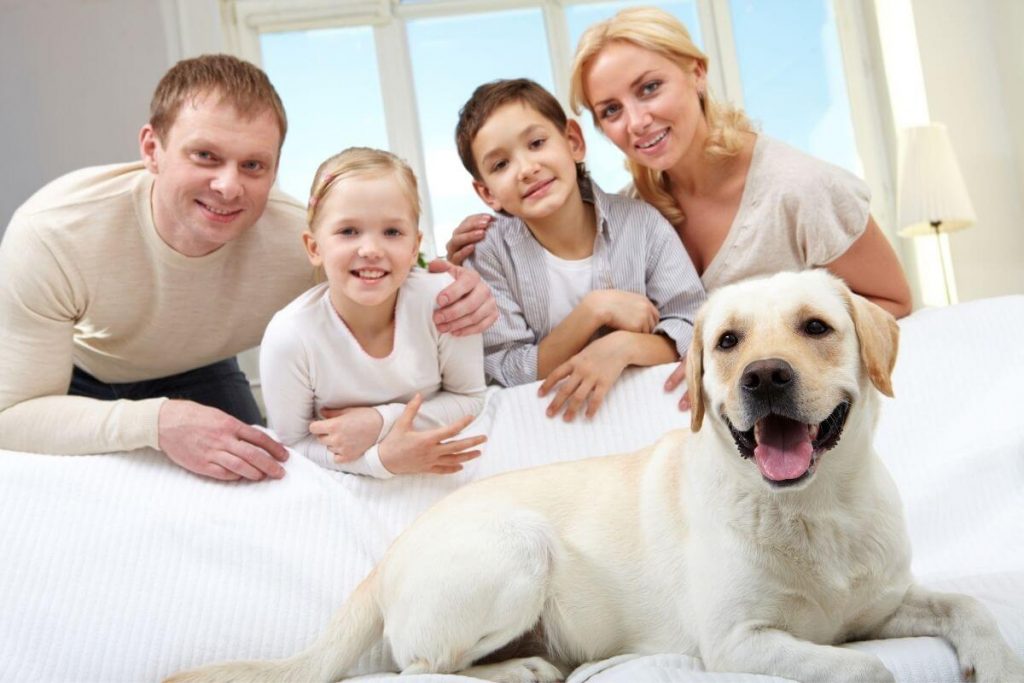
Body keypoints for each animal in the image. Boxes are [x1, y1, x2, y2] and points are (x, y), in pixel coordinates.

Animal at [169, 270, 1024, 679]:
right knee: (426, 666)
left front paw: (992, 660)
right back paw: (526, 668)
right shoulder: (741, 643)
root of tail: (389, 554)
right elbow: (870, 669)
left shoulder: (880, 604)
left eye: (816, 326)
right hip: (519, 548)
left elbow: (970, 606)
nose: (764, 376)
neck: (818, 508)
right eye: (727, 341)